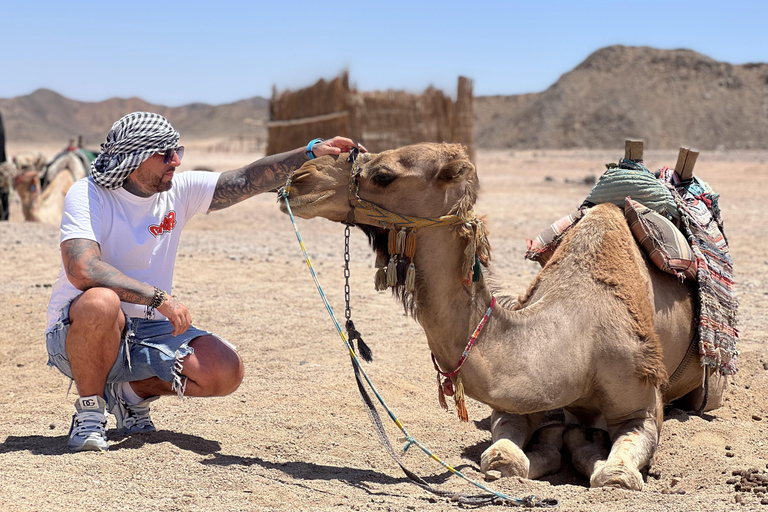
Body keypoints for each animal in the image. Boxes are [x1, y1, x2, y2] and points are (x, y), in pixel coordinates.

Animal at [280, 144, 728, 492]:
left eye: (384, 175)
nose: (301, 177)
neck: (578, 332)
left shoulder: (641, 406)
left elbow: (614, 476)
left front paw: (592, 451)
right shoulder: (518, 400)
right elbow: (503, 458)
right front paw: (560, 443)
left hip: (708, 385)